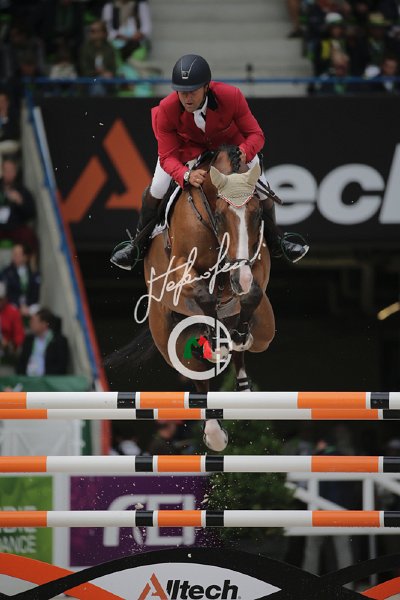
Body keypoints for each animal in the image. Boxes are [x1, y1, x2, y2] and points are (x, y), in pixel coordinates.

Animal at [142, 145, 275, 451]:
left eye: (256, 213)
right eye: (221, 214)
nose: (240, 279)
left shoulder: (255, 261)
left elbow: (252, 291)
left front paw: (237, 335)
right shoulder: (179, 267)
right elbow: (204, 293)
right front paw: (215, 339)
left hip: (266, 331)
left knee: (243, 351)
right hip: (167, 335)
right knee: (197, 375)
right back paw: (214, 434)